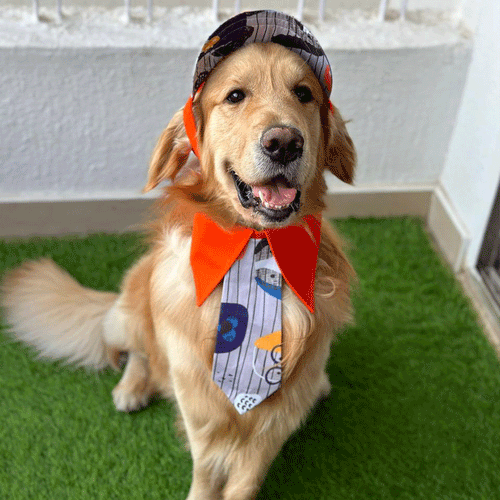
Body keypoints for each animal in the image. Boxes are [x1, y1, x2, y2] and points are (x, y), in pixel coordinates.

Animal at [2, 13, 356, 498]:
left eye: (303, 93)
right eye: (235, 96)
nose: (284, 142)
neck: (258, 246)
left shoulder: (275, 420)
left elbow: (245, 479)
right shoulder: (198, 401)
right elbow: (206, 470)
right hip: (133, 303)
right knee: (139, 352)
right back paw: (132, 388)